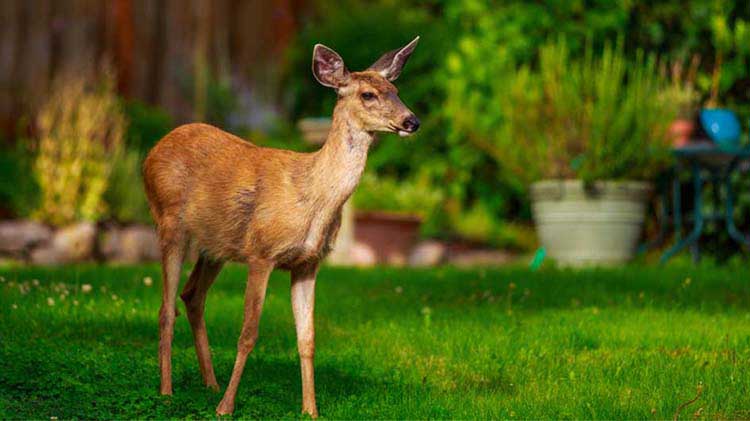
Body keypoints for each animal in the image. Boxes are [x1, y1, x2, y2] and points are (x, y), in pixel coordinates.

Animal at [142, 37, 424, 416]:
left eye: (395, 90)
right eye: (368, 94)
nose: (412, 121)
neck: (313, 197)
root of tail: (152, 152)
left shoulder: (308, 263)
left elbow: (307, 338)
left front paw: (310, 410)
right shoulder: (262, 253)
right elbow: (248, 333)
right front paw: (226, 408)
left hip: (216, 246)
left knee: (192, 296)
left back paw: (209, 383)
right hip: (169, 223)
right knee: (165, 308)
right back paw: (168, 391)